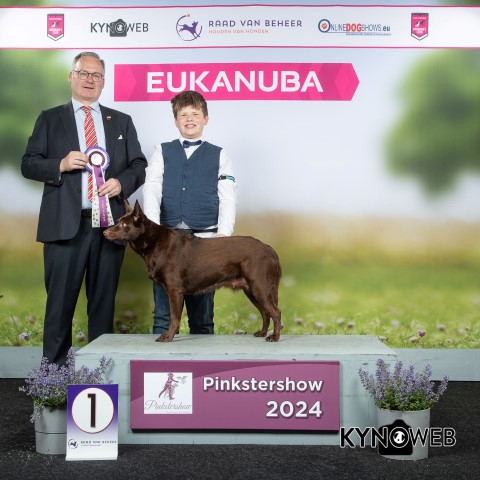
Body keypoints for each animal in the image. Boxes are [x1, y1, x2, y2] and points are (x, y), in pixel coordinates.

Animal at [104, 201, 282, 343]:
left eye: (124, 225)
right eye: (118, 222)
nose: (105, 232)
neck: (153, 242)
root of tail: (270, 249)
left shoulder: (175, 291)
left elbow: (174, 318)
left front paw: (168, 337)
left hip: (259, 287)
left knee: (275, 312)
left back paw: (274, 337)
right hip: (251, 290)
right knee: (265, 312)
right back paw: (262, 333)